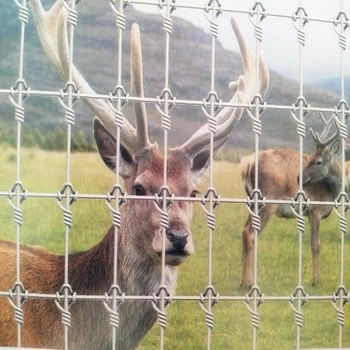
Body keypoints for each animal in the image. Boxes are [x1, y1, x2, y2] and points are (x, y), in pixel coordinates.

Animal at [239, 115, 340, 290]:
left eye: (318, 161)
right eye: (314, 159)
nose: (299, 178)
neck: (332, 192)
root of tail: (247, 164)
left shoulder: (309, 214)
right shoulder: (316, 210)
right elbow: (316, 245)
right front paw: (316, 281)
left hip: (253, 202)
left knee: (245, 230)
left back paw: (243, 282)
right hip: (267, 201)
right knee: (250, 233)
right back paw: (250, 282)